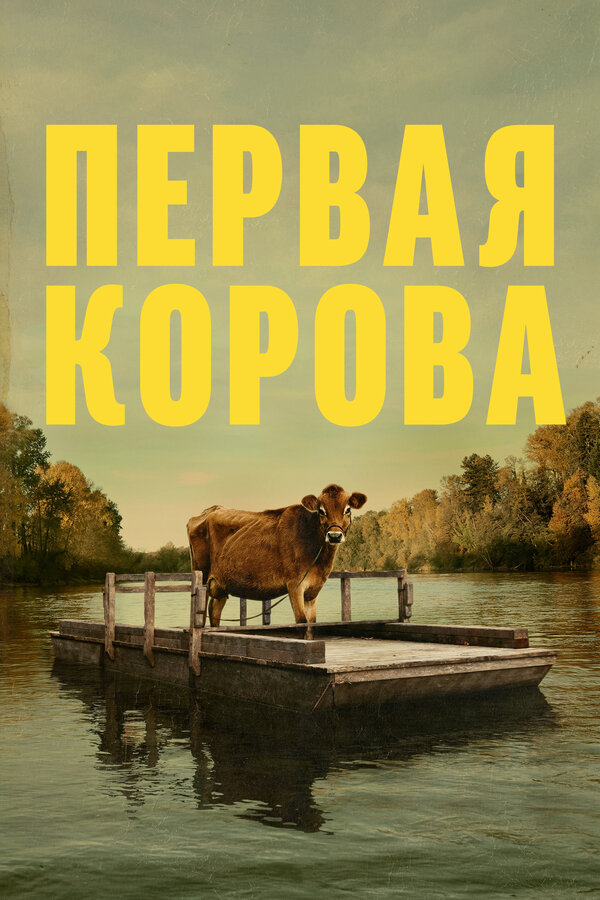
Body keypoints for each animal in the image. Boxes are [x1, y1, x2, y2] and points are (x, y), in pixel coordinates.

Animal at [187, 484, 367, 631]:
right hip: (202, 575)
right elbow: (301, 622)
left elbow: (311, 624)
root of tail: (209, 510)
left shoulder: (313, 590)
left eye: (347, 509)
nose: (334, 535)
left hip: (221, 584)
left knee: (214, 612)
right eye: (321, 510)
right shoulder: (295, 585)